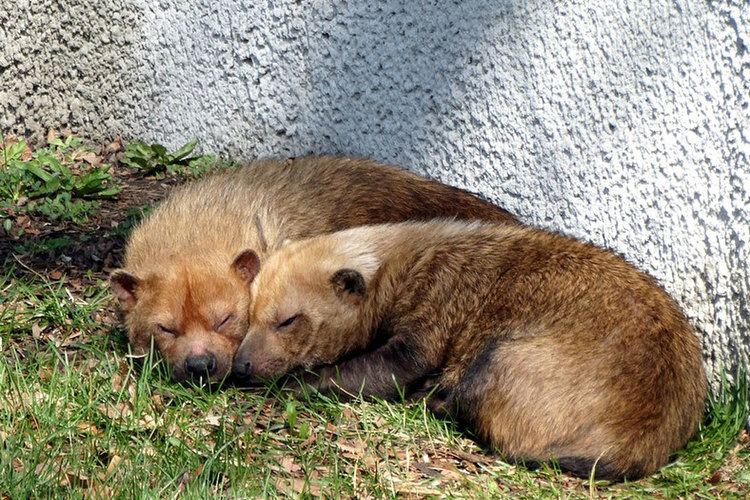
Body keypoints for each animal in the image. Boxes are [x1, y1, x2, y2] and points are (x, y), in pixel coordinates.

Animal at [232, 219, 708, 480]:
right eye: (249, 313)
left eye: (288, 320)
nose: (241, 366)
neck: (401, 260)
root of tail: (637, 440)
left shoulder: (428, 318)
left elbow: (383, 371)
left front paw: (293, 385)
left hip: (503, 359)